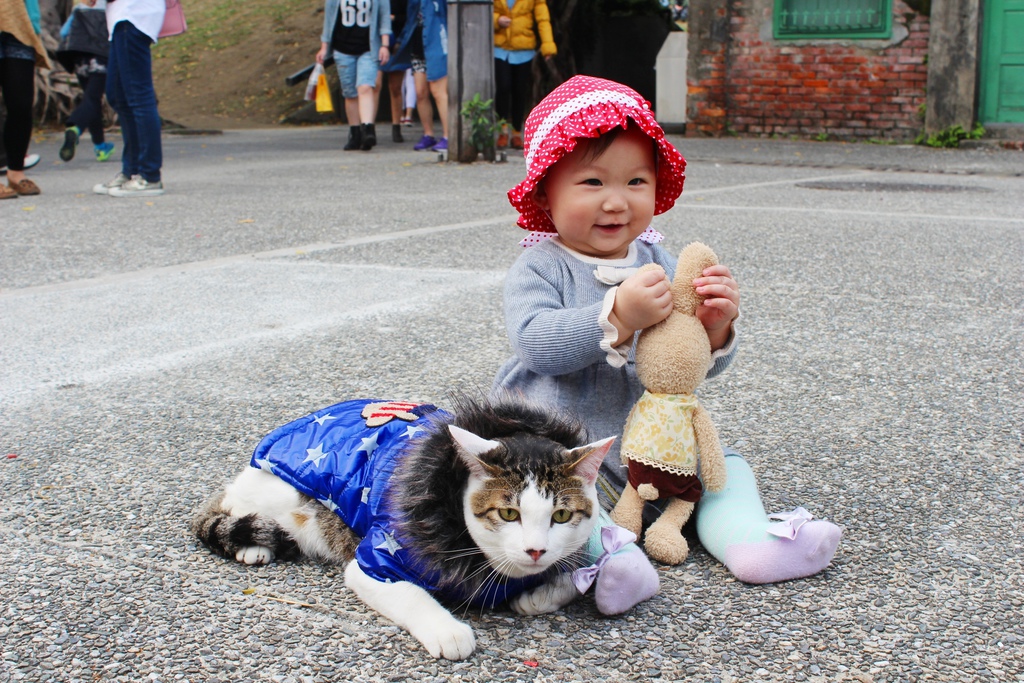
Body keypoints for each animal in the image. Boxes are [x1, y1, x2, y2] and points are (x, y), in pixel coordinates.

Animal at [192, 397, 614, 659]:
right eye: (509, 514)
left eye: (561, 517)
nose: (536, 550)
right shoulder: (374, 559)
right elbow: (410, 595)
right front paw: (448, 631)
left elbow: (583, 575)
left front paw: (538, 594)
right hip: (282, 498)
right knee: (230, 505)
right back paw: (253, 545)